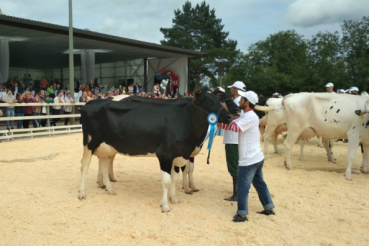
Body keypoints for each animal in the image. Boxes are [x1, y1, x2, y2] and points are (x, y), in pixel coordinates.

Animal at [78, 87, 231, 212]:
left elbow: (174, 179)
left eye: (218, 99)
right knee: (84, 166)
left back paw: (110, 190)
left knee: (104, 166)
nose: (229, 116)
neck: (184, 119)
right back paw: (82, 193)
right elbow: (167, 181)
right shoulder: (165, 154)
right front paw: (165, 206)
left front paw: (174, 199)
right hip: (90, 143)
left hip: (106, 146)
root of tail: (90, 104)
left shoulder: (179, 155)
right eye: (208, 101)